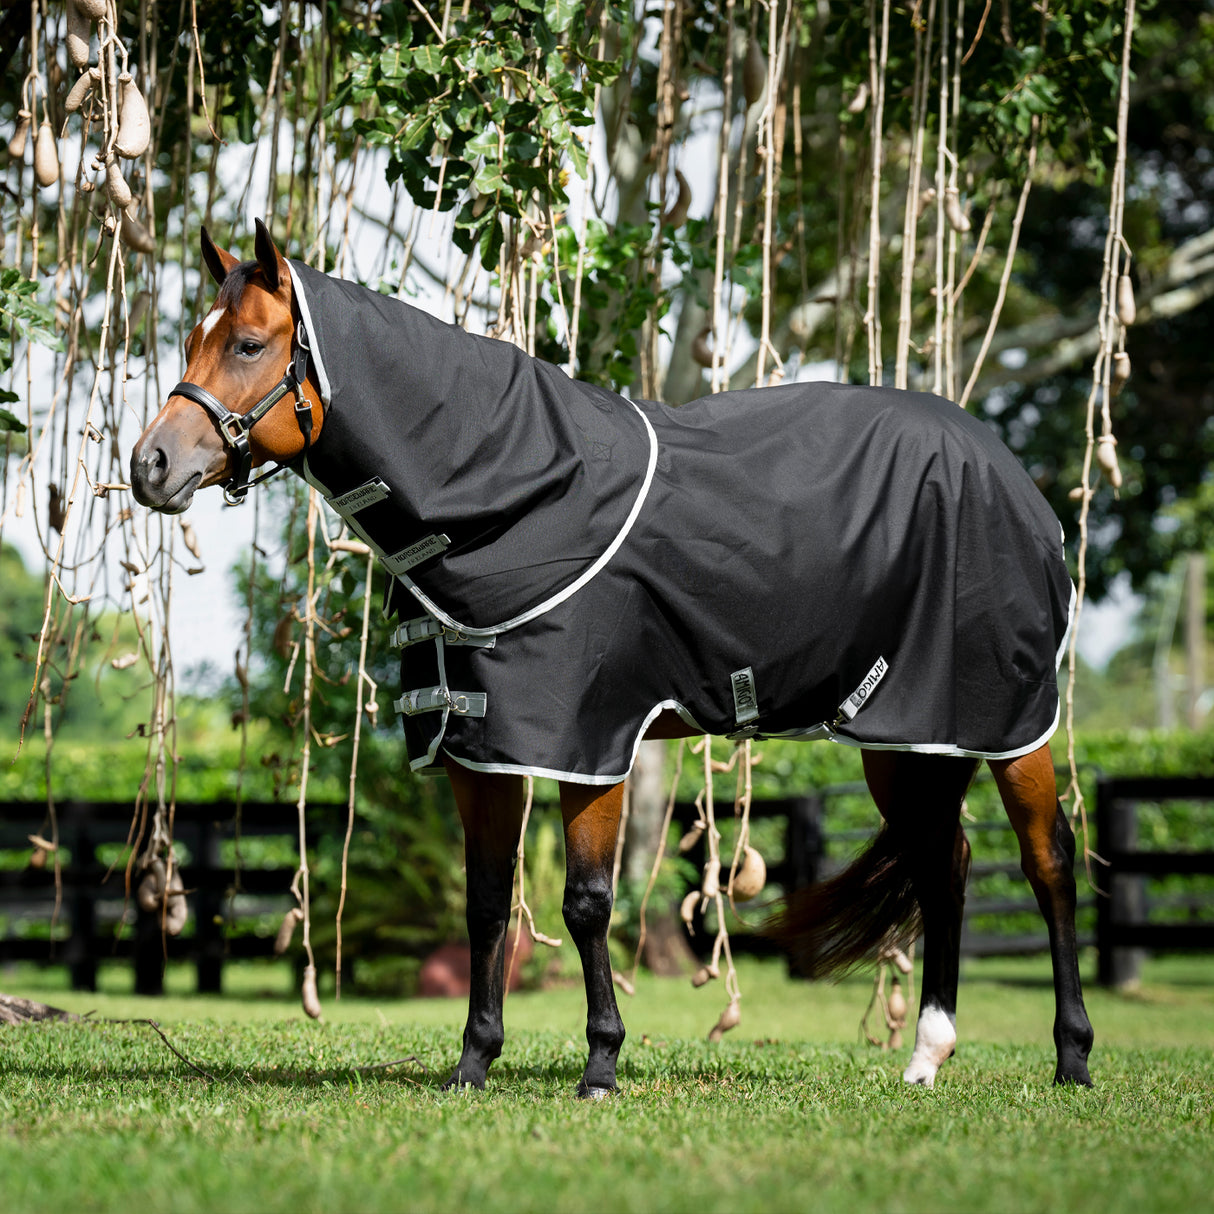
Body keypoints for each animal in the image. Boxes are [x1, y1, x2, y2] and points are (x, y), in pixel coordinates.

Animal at [130, 220, 1094, 1095]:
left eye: (249, 343)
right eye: (192, 340)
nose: (151, 464)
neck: (516, 493)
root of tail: (1007, 470)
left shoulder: (589, 745)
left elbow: (586, 902)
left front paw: (601, 1064)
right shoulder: (482, 751)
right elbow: (488, 903)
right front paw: (474, 1063)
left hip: (1009, 725)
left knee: (1047, 862)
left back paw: (1072, 1057)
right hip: (908, 737)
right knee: (944, 866)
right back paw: (928, 1055)